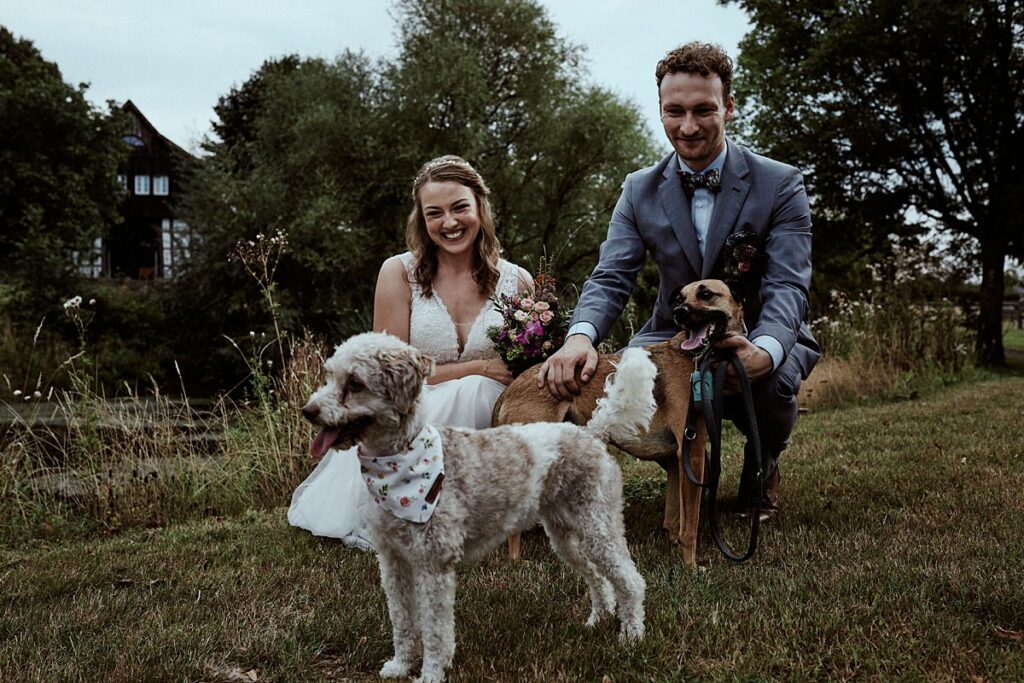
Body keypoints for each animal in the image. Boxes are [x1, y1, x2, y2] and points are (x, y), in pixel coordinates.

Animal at [303, 333, 655, 679]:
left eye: (355, 383)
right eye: (330, 376)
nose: (308, 411)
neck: (399, 463)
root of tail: (591, 433)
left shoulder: (434, 566)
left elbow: (435, 630)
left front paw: (430, 674)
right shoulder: (393, 560)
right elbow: (401, 619)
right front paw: (401, 666)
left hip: (598, 526)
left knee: (630, 581)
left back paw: (631, 636)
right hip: (566, 534)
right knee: (596, 575)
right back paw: (598, 619)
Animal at [493, 278, 745, 565]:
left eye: (706, 294)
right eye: (680, 298)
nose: (679, 311)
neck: (694, 359)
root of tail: (511, 387)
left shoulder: (676, 459)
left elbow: (674, 517)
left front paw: (674, 546)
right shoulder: (691, 452)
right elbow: (689, 525)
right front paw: (691, 565)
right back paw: (517, 559)